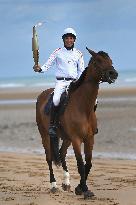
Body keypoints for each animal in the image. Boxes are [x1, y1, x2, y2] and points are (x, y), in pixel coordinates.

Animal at [35, 47, 118, 199]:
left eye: (110, 60)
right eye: (98, 61)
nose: (113, 74)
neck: (83, 107)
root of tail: (42, 95)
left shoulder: (89, 138)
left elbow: (88, 164)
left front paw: (79, 188)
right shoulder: (76, 139)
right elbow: (80, 164)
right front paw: (84, 189)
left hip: (66, 138)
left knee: (61, 154)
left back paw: (66, 183)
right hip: (46, 136)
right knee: (49, 158)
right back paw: (54, 185)